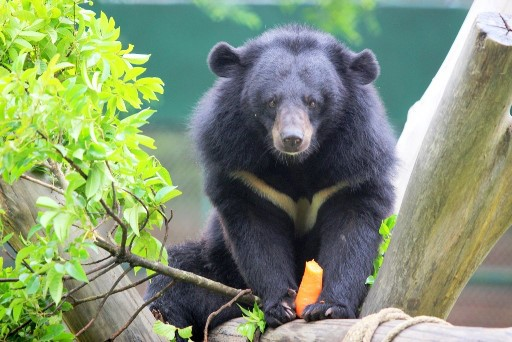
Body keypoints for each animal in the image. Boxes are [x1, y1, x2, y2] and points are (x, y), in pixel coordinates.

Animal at [147, 25, 396, 340]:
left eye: (313, 101)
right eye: (271, 101)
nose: (292, 139)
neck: (297, 164)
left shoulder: (353, 163)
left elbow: (351, 230)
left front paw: (328, 307)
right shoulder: (242, 167)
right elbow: (258, 234)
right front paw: (282, 305)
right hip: (220, 269)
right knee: (173, 278)